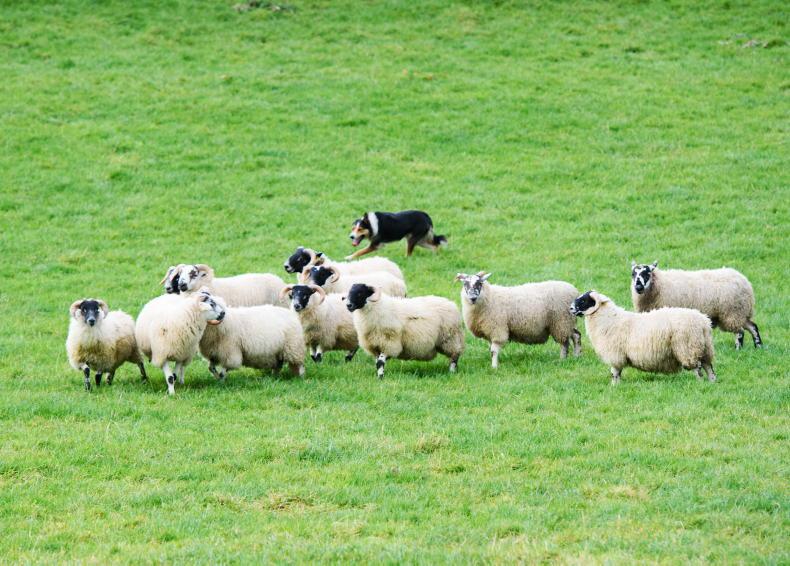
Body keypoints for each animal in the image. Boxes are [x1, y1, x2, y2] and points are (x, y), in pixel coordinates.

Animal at [570, 291, 716, 384]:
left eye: (583, 300)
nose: (570, 308)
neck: (607, 319)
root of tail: (703, 322)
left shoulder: (615, 354)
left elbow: (615, 372)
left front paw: (614, 386)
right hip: (704, 347)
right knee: (708, 366)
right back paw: (712, 382)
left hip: (688, 348)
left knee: (697, 368)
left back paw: (699, 383)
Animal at [630, 261, 762, 349]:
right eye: (633, 274)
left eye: (647, 274)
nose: (638, 287)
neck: (659, 285)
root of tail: (745, 281)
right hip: (741, 313)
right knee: (753, 327)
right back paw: (758, 346)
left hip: (732, 313)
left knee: (740, 332)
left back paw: (738, 349)